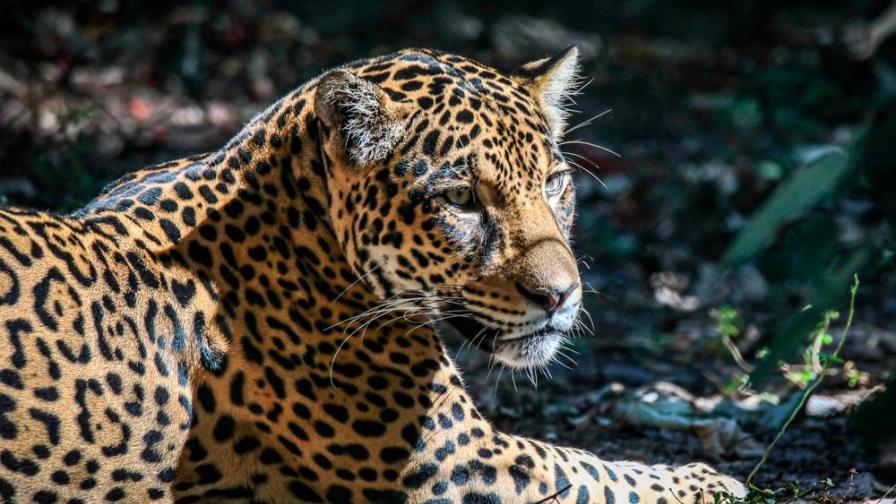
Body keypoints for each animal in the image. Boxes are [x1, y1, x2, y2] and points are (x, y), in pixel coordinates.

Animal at [0, 47, 746, 503]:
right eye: (460, 199)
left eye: (554, 183)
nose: (561, 296)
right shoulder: (463, 464)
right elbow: (596, 470)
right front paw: (709, 481)